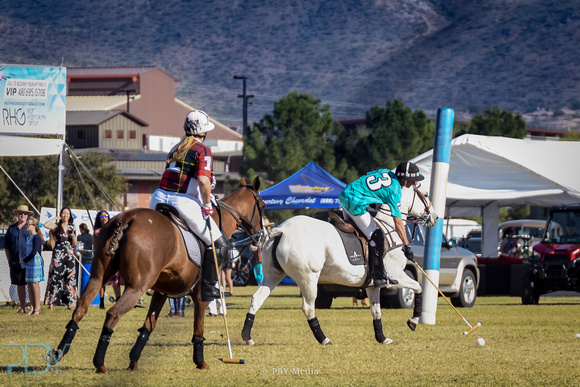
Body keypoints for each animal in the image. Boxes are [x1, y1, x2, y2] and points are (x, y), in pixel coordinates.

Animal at [47, 178, 266, 372]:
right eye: (263, 206)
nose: (262, 236)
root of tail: (126, 219)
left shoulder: (161, 291)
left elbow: (148, 326)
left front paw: (133, 362)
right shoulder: (200, 293)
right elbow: (199, 327)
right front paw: (200, 362)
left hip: (97, 277)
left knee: (80, 308)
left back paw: (59, 352)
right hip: (137, 287)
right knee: (112, 314)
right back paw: (99, 364)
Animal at [240, 185, 436, 346]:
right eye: (426, 194)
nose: (434, 217)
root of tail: (282, 230)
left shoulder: (373, 285)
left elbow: (376, 311)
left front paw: (382, 338)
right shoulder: (395, 276)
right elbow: (417, 287)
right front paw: (413, 321)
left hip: (272, 276)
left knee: (256, 299)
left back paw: (247, 336)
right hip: (308, 279)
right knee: (308, 308)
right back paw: (323, 339)